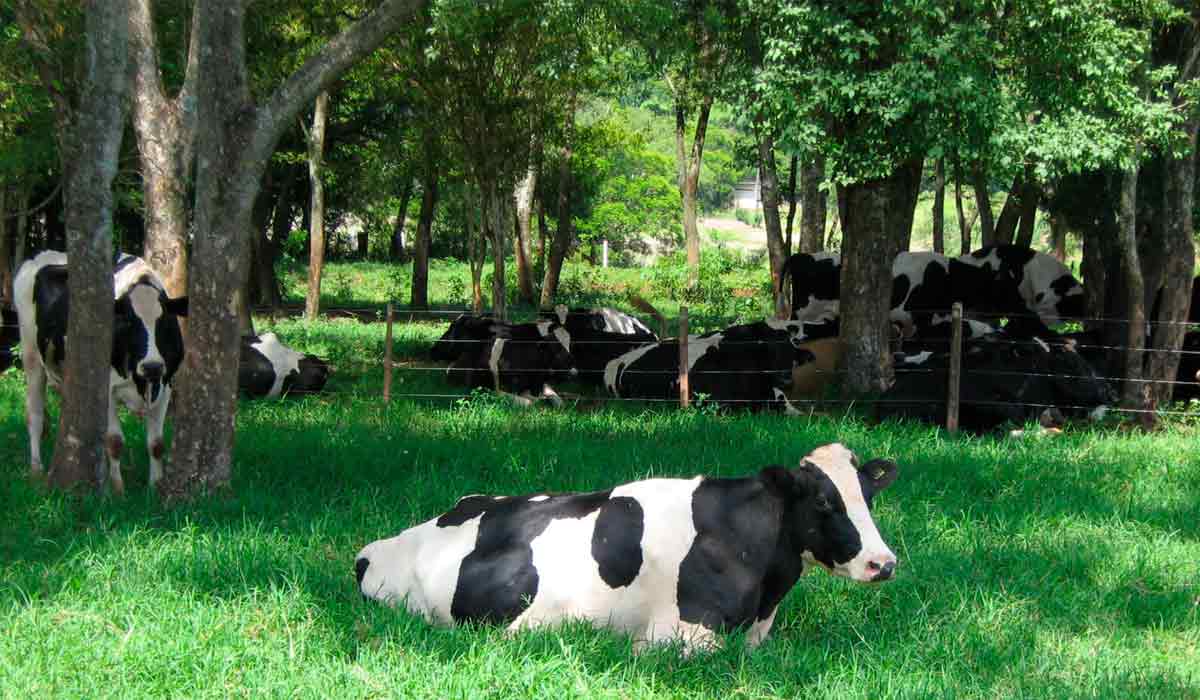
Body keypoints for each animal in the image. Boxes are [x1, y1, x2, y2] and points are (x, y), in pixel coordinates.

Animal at [14, 251, 187, 495]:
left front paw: (155, 484)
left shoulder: (165, 385)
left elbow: (156, 444)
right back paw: (36, 469)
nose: (152, 366)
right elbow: (114, 441)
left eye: (164, 322)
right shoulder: (107, 389)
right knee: (35, 414)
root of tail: (41, 255)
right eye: (128, 321)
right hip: (30, 354)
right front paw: (117, 488)